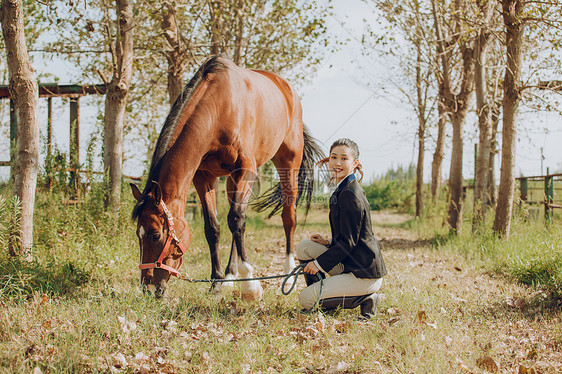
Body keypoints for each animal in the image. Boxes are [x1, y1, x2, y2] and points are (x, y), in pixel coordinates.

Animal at [130, 56, 320, 298]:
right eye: (138, 235)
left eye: (155, 235)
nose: (148, 287)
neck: (219, 109)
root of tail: (287, 88)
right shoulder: (203, 177)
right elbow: (214, 227)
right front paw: (217, 281)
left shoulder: (246, 169)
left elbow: (237, 219)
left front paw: (250, 286)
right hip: (231, 180)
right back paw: (230, 275)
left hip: (288, 164)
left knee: (288, 217)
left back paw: (287, 271)